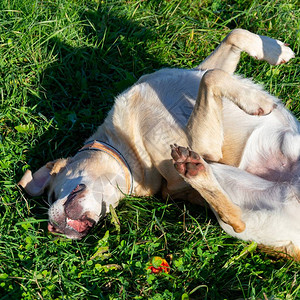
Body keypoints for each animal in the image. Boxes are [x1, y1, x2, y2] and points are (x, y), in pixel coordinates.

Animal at [18, 29, 298, 260]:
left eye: (51, 195)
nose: (53, 228)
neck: (129, 153)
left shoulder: (196, 73)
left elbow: (233, 38)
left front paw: (276, 50)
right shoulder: (207, 149)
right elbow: (212, 77)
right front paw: (257, 100)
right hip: (235, 192)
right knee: (236, 218)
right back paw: (193, 169)